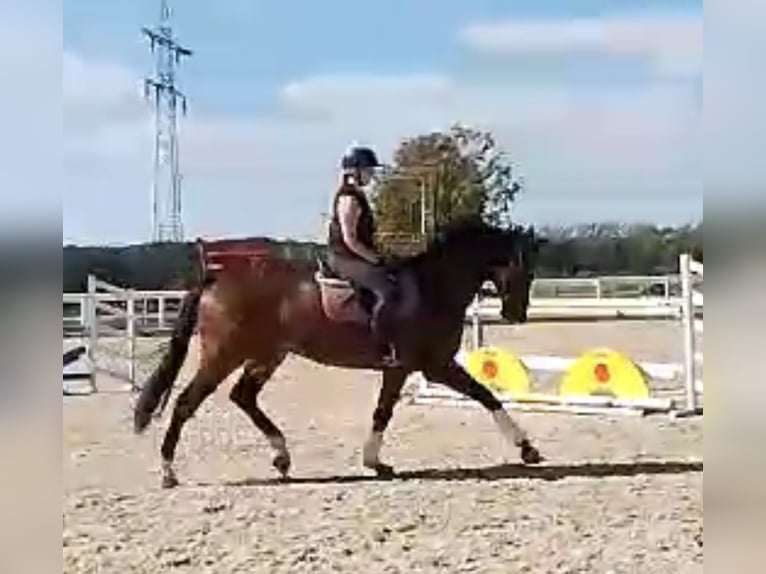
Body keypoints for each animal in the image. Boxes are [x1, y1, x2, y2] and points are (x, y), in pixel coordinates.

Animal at [136, 220, 544, 490]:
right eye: (521, 267)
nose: (516, 314)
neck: (434, 288)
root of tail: (214, 279)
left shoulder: (402, 369)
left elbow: (384, 411)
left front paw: (375, 462)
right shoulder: (434, 366)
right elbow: (486, 395)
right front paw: (527, 448)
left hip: (267, 354)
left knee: (243, 396)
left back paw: (282, 456)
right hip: (224, 355)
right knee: (186, 403)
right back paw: (168, 472)